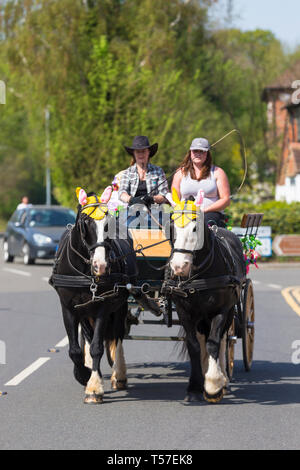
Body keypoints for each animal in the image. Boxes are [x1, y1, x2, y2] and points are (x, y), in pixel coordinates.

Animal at [166, 189, 246, 402]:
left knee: (224, 340)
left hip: (229, 311)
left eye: (195, 228)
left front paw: (213, 384)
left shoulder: (221, 310)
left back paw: (223, 378)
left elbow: (214, 343)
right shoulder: (185, 312)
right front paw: (194, 387)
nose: (179, 266)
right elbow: (194, 345)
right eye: (172, 228)